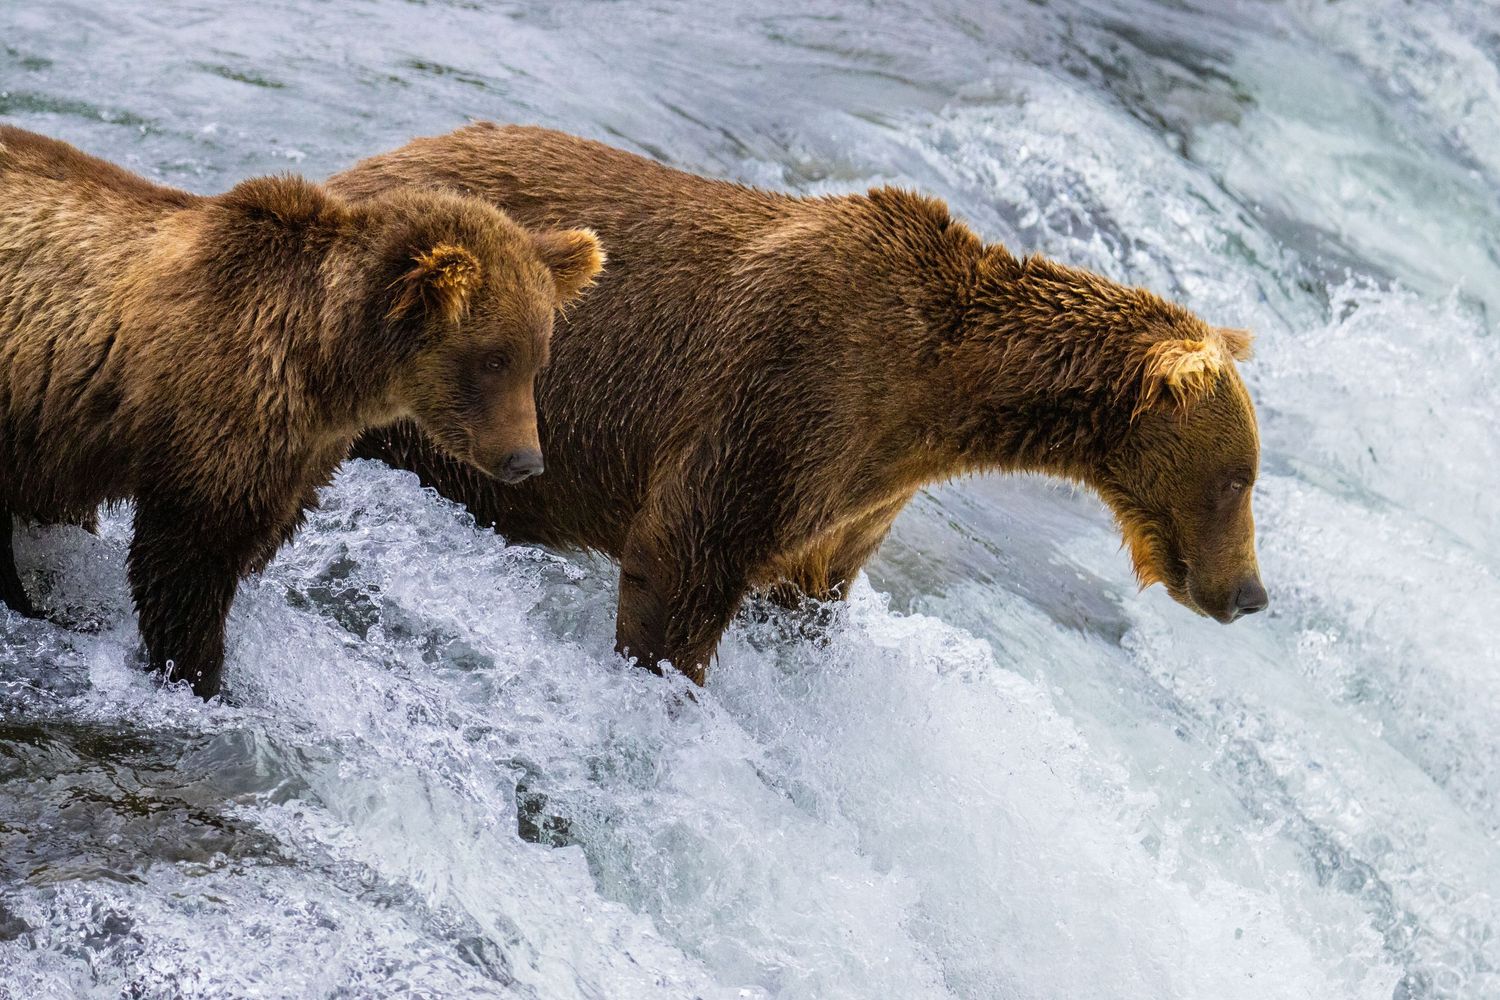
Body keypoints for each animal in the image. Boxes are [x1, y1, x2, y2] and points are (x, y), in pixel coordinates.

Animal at [0, 125, 603, 698]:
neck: (327, 361)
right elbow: (186, 559)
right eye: (493, 358)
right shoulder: (220, 409)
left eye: (537, 359)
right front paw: (197, 674)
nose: (526, 460)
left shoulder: (299, 448)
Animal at [329, 123, 1265, 684]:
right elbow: (683, 560)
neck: (940, 400)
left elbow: (809, 591)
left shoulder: (858, 491)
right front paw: (665, 681)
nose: (1250, 593)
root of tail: (355, 170)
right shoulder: (785, 395)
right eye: (1239, 480)